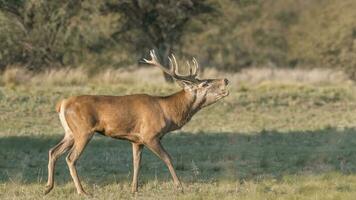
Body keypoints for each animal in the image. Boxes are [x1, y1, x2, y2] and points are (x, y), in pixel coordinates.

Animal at [44, 50, 229, 195]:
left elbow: (136, 163)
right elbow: (168, 158)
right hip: (83, 131)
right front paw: (180, 187)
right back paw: (82, 191)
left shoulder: (136, 140)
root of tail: (62, 104)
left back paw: (48, 187)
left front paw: (134, 189)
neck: (168, 112)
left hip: (70, 132)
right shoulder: (150, 136)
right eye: (205, 83)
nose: (226, 80)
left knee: (53, 151)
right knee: (70, 158)